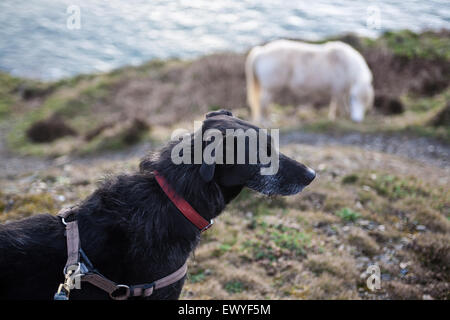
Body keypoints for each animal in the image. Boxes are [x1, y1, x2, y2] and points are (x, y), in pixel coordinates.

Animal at [244, 39, 374, 124]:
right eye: (354, 98)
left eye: (366, 101)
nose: (357, 120)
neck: (346, 66)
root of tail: (261, 51)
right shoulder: (338, 90)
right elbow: (341, 105)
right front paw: (342, 116)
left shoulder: (340, 91)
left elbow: (335, 104)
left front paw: (333, 117)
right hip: (271, 88)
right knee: (263, 102)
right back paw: (265, 121)